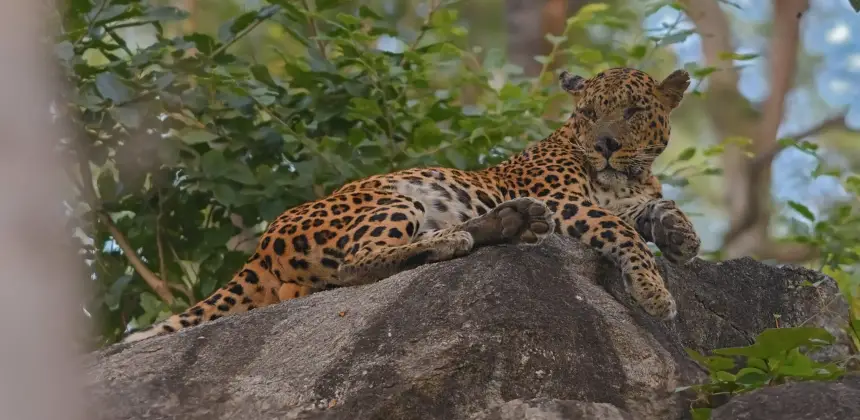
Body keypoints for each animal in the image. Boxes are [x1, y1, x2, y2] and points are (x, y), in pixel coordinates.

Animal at [121, 66, 700, 344]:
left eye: (632, 111)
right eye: (587, 113)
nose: (604, 145)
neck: (627, 176)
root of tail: (263, 245)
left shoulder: (627, 195)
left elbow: (660, 209)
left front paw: (681, 239)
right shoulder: (564, 202)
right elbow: (620, 230)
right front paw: (653, 291)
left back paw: (507, 221)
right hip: (391, 201)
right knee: (356, 266)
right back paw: (464, 234)